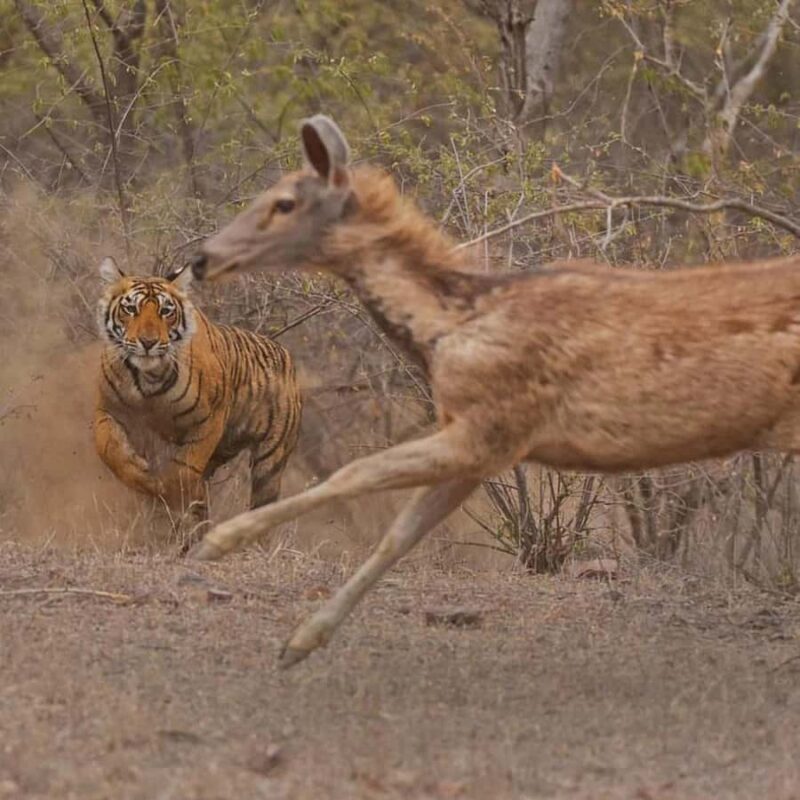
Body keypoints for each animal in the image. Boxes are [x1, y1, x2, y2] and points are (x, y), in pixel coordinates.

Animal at [94, 256, 302, 545]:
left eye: (165, 311)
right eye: (130, 309)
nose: (148, 342)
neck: (148, 379)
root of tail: (284, 353)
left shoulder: (208, 421)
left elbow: (183, 471)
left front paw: (166, 497)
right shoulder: (109, 410)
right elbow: (110, 449)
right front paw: (142, 475)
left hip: (270, 460)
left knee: (262, 503)